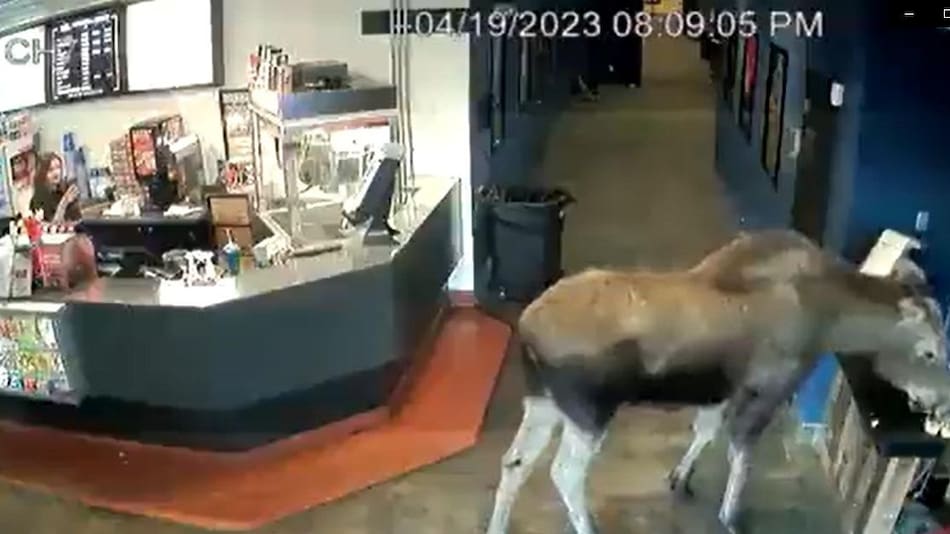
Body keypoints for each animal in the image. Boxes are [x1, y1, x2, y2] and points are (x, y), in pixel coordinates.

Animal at [485, 229, 950, 534]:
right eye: (929, 351)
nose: (940, 402)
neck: (832, 321)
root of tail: (526, 331)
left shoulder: (723, 390)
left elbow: (706, 431)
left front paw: (680, 476)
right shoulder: (769, 387)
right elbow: (741, 452)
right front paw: (730, 515)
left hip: (543, 401)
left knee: (515, 461)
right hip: (589, 410)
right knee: (564, 472)